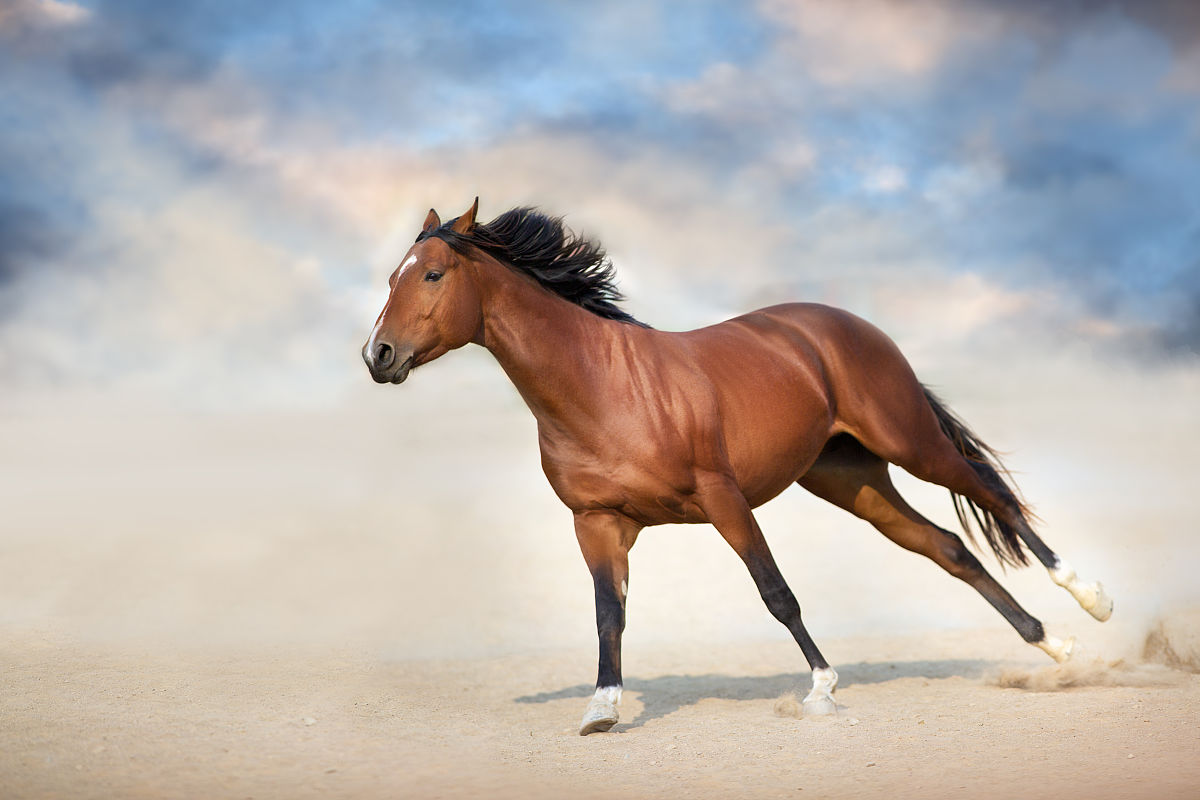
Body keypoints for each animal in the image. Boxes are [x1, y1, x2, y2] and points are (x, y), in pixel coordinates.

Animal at [362, 199, 1113, 735]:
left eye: (432, 274)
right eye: (392, 275)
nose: (378, 355)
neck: (602, 388)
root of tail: (846, 324)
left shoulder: (723, 500)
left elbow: (776, 594)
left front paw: (822, 691)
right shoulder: (597, 522)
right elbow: (608, 615)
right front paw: (601, 709)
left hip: (909, 443)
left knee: (993, 497)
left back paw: (1092, 601)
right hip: (853, 481)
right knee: (949, 546)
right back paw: (1055, 648)